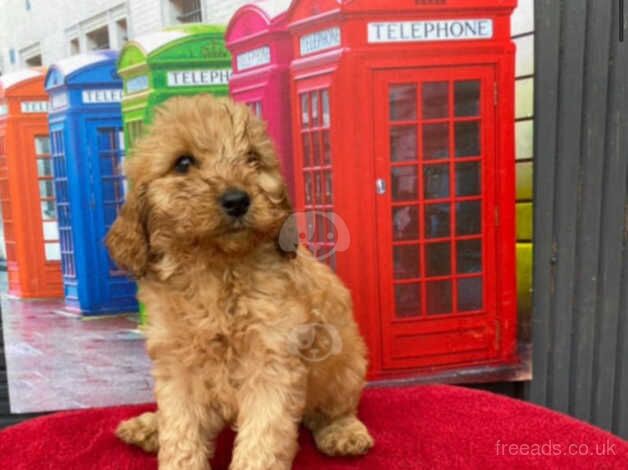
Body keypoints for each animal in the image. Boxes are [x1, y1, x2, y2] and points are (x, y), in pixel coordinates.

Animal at [107, 95, 372, 470]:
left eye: (253, 159)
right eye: (183, 162)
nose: (237, 200)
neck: (216, 266)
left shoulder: (272, 361)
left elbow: (263, 439)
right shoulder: (178, 366)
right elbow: (180, 432)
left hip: (343, 364)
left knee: (333, 409)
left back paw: (343, 432)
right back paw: (148, 426)